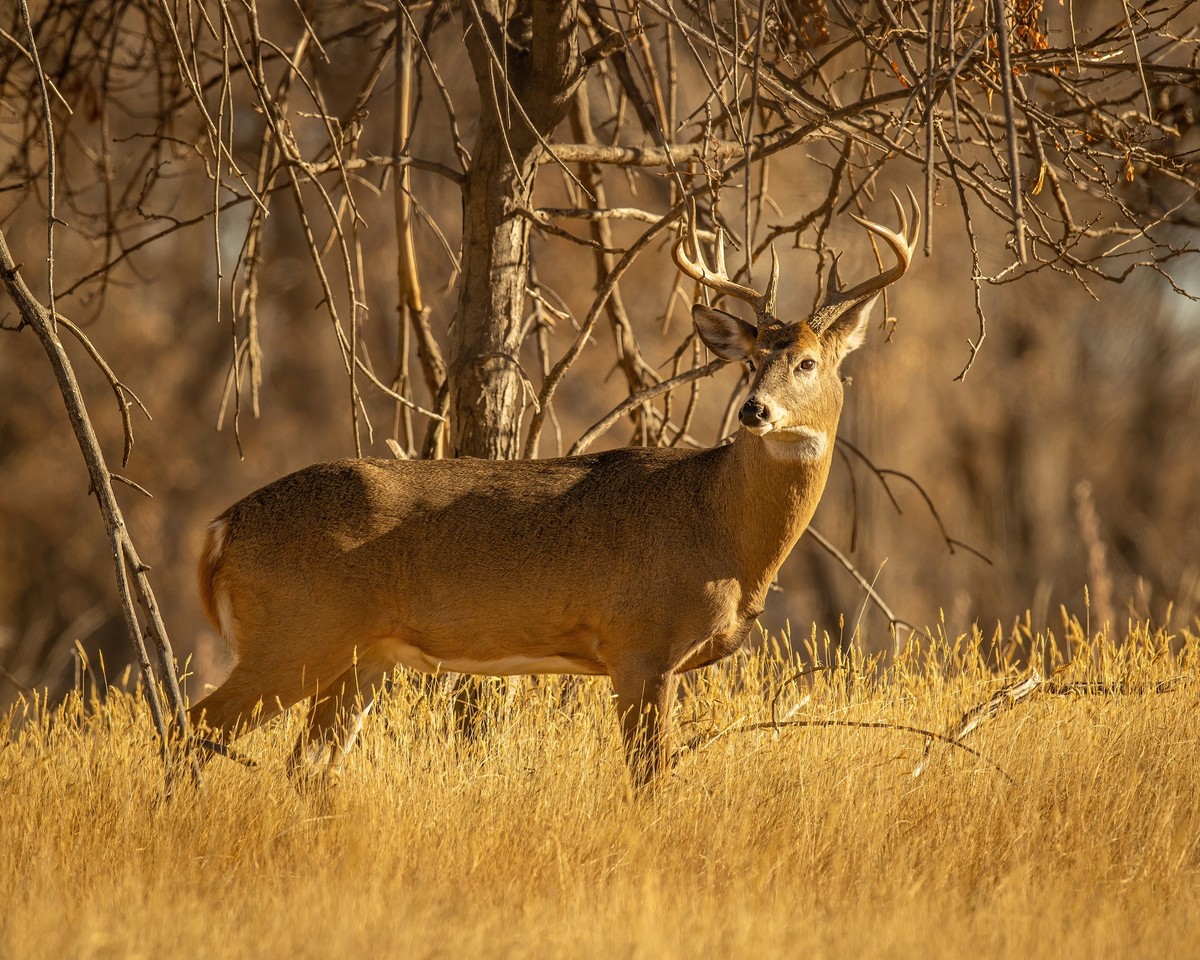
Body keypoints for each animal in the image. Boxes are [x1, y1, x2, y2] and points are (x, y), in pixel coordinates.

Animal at [188, 192, 919, 786]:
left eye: (808, 362)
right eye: (751, 360)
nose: (754, 411)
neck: (719, 529)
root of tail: (221, 528)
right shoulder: (639, 643)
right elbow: (650, 781)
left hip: (360, 657)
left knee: (307, 765)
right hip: (295, 635)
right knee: (194, 726)